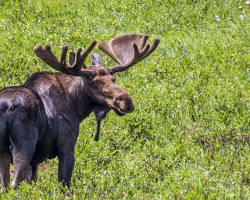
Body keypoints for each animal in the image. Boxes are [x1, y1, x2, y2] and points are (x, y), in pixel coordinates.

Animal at [0, 33, 160, 190]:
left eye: (113, 79)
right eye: (94, 82)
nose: (126, 101)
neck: (76, 106)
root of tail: (6, 106)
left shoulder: (36, 160)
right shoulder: (67, 147)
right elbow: (64, 186)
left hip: (5, 152)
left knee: (5, 185)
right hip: (24, 146)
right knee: (15, 183)